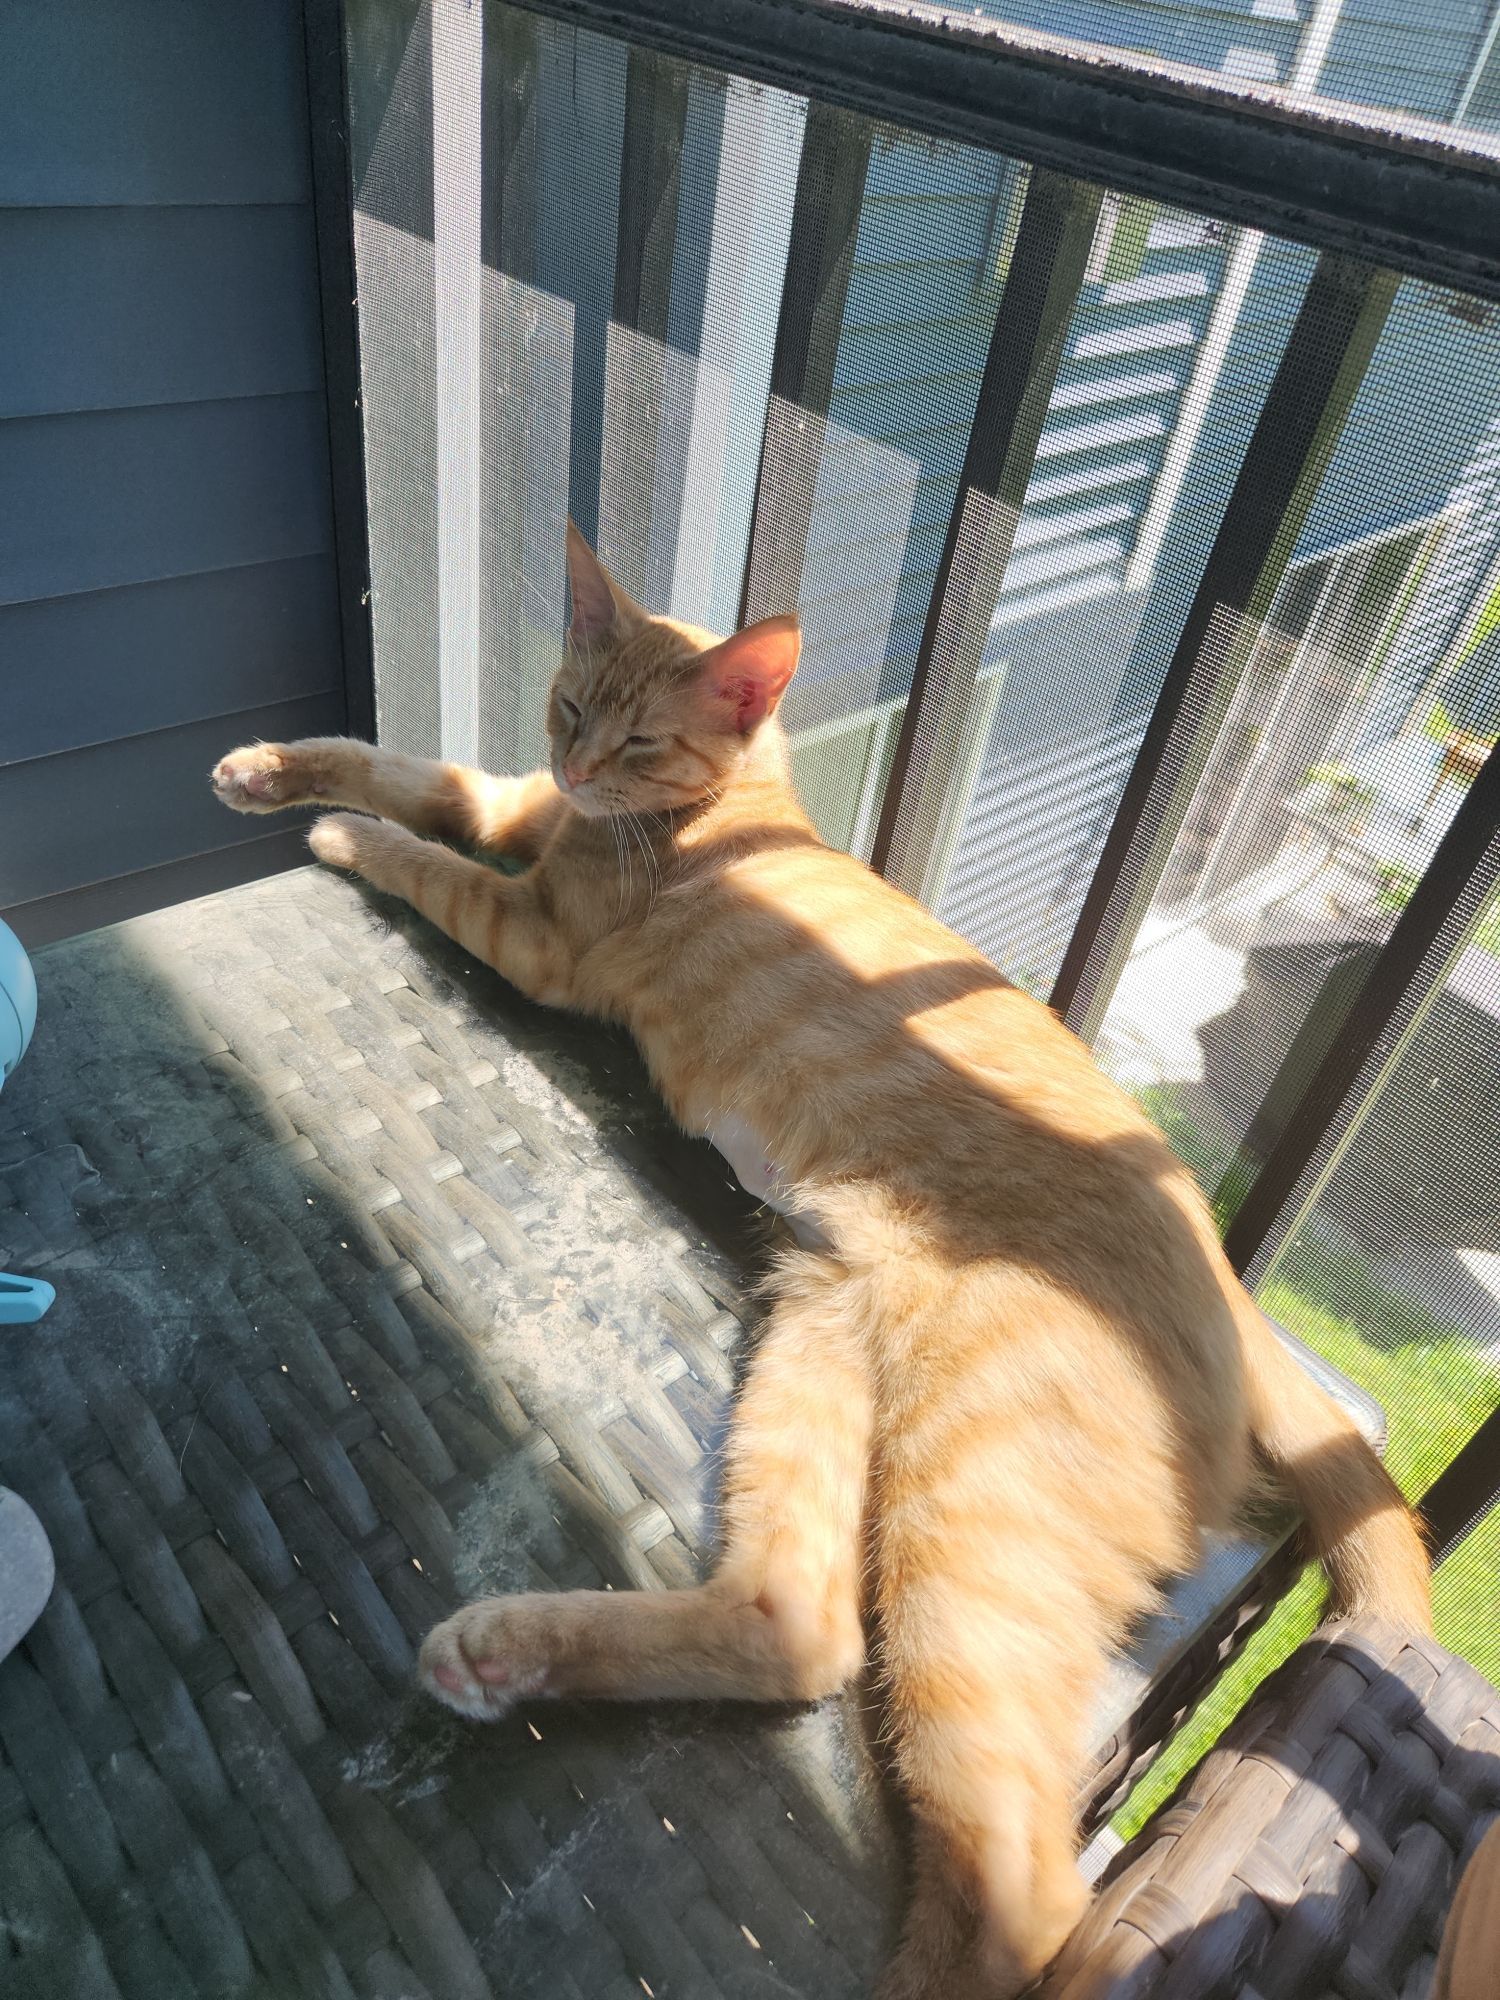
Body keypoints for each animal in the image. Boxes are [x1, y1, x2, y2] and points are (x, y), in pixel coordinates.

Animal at [214, 528, 1432, 2000]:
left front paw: (345, 835)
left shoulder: (533, 930)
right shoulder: (513, 803)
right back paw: (511, 1653)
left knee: (1024, 1894)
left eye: (639, 739)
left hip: (966, 1527)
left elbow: (419, 845)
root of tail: (1238, 1299)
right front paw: (272, 769)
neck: (723, 810)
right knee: (800, 1628)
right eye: (568, 708)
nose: (579, 764)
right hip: (821, 1340)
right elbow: (410, 764)